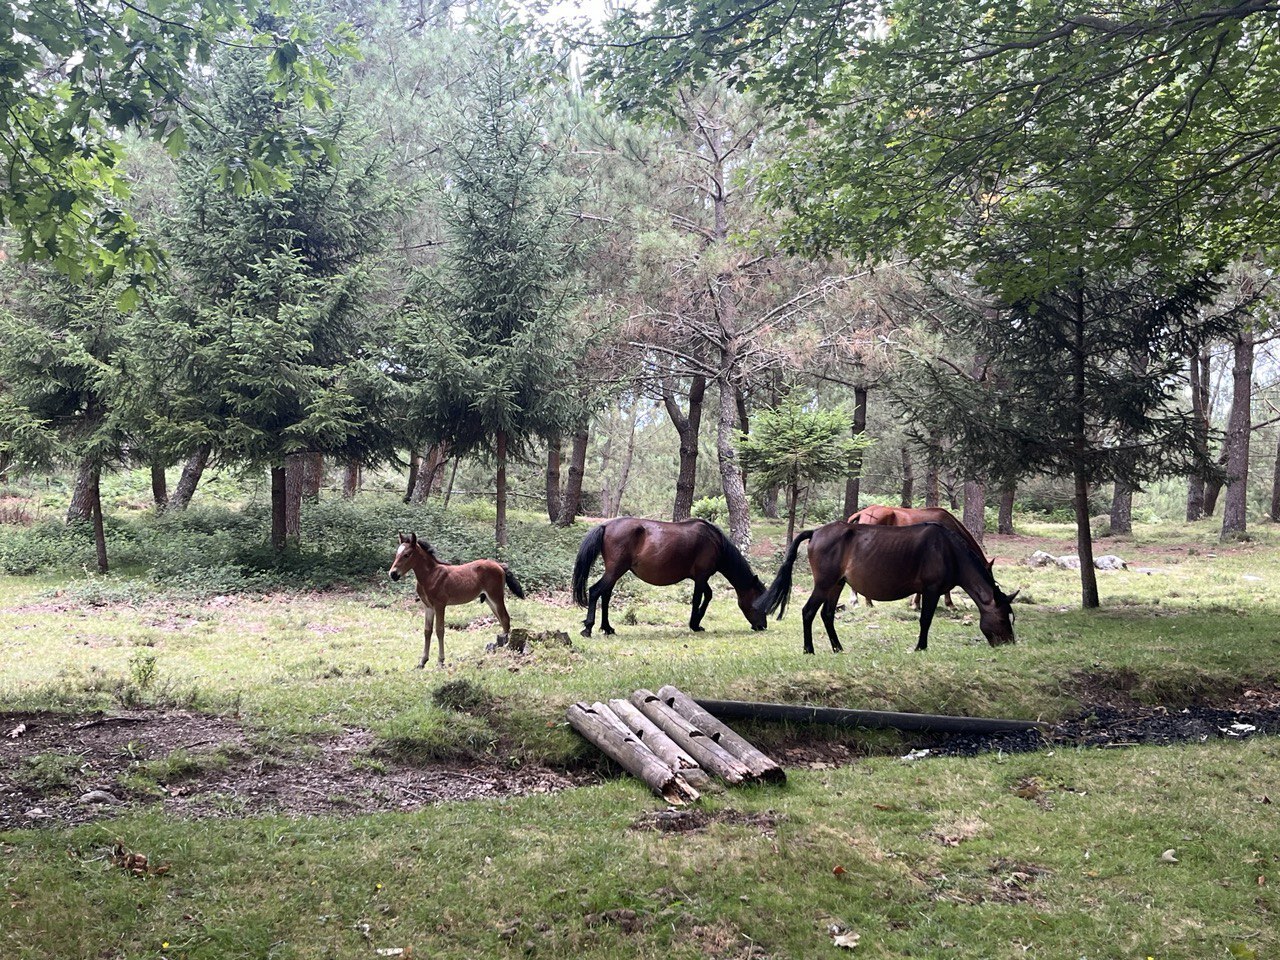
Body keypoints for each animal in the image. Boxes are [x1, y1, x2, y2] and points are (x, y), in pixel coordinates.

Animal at [384, 535, 524, 670]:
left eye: (407, 554)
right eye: (397, 553)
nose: (393, 574)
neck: (430, 575)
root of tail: (500, 565)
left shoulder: (440, 605)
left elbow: (439, 630)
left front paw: (440, 661)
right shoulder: (428, 606)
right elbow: (427, 631)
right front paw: (422, 662)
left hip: (496, 596)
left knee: (505, 618)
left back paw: (504, 647)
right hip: (489, 600)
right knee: (502, 620)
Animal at [573, 519, 768, 640]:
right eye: (758, 604)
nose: (762, 626)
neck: (715, 541)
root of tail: (606, 525)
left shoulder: (701, 578)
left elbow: (708, 595)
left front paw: (697, 622)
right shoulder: (701, 577)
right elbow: (699, 598)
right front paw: (694, 624)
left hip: (615, 572)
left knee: (605, 596)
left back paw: (608, 628)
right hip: (615, 571)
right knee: (595, 591)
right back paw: (588, 628)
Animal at [752, 522, 1013, 660]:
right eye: (1002, 618)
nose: (1009, 643)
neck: (948, 550)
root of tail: (815, 532)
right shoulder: (931, 589)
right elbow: (925, 620)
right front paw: (921, 647)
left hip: (837, 584)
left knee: (827, 614)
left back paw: (838, 647)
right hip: (824, 584)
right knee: (808, 612)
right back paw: (809, 649)